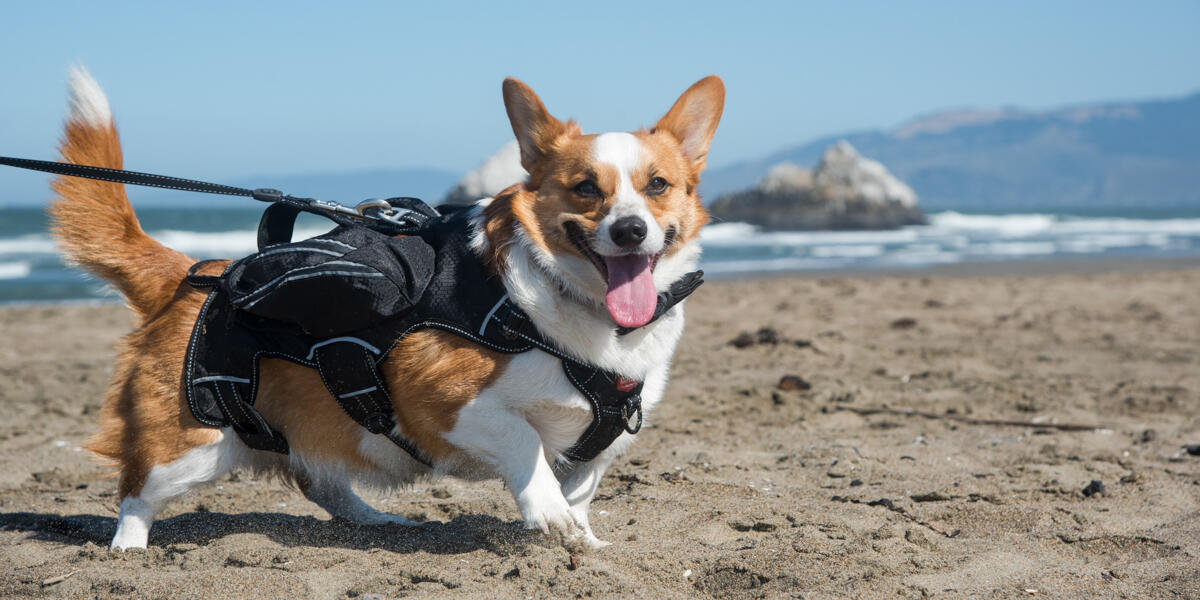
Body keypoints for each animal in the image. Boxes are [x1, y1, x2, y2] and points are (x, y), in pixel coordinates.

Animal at [51, 65, 724, 549]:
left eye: (658, 185)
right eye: (586, 188)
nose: (631, 231)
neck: (579, 311)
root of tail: (194, 273)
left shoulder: (596, 445)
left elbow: (579, 490)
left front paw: (578, 539)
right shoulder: (450, 406)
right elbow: (526, 445)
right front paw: (549, 515)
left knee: (316, 478)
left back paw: (376, 520)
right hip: (194, 444)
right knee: (136, 492)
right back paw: (128, 553)